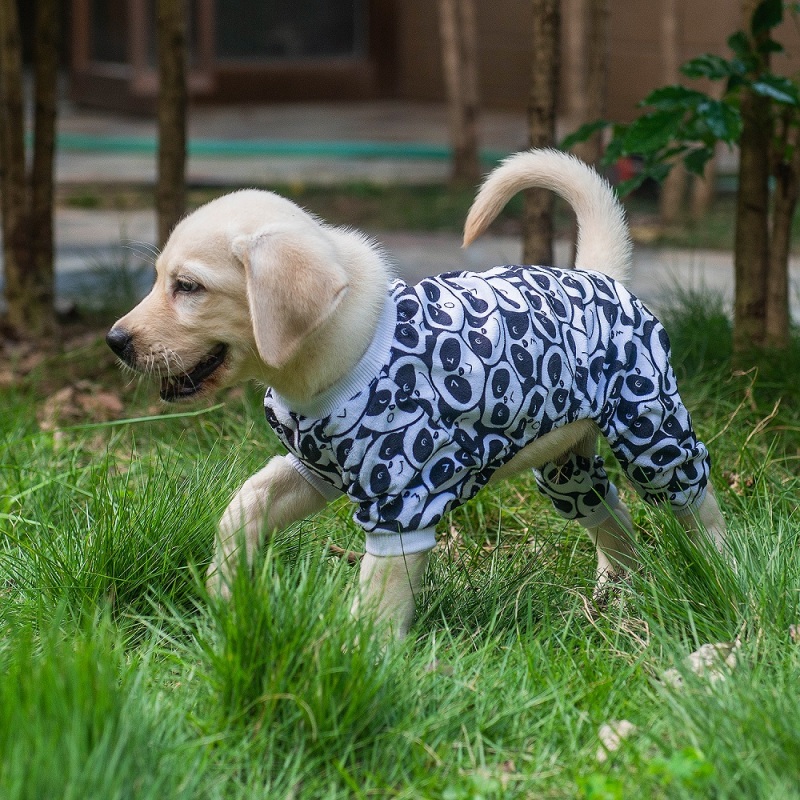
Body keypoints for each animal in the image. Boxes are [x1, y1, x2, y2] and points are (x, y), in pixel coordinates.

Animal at [106, 148, 724, 636]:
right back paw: (615, 594)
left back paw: (723, 578)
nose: (115, 341)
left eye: (188, 287)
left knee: (696, 505)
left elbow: (376, 603)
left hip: (652, 433)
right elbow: (245, 504)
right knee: (610, 512)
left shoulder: (400, 503)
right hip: (565, 464)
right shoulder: (313, 470)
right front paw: (223, 598)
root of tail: (600, 275)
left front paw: (356, 661)